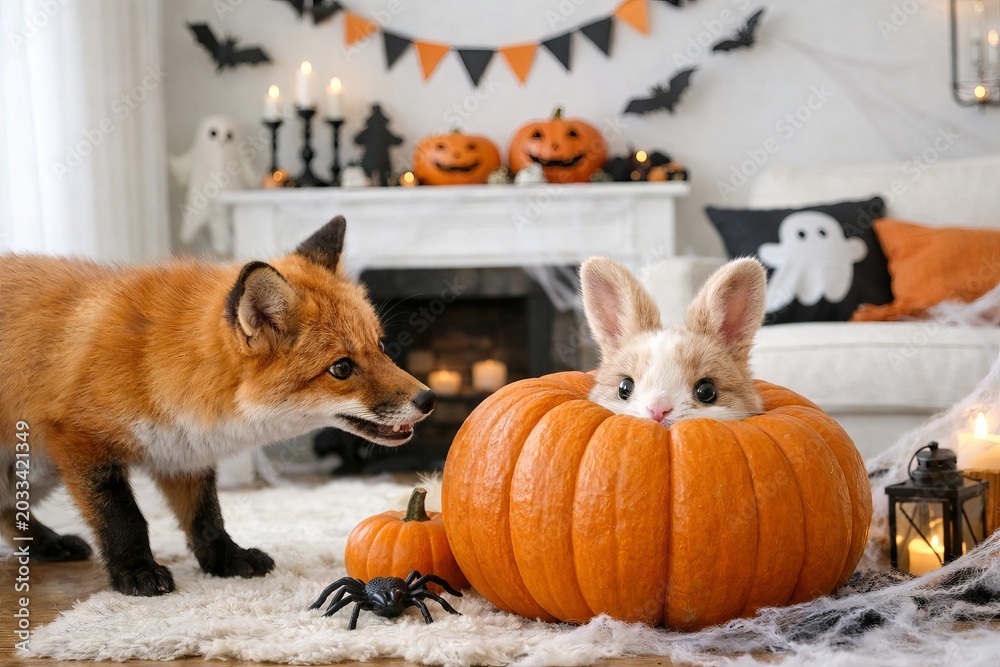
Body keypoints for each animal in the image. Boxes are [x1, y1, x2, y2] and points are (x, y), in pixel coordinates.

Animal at [0, 217, 436, 596]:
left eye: (381, 346)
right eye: (341, 368)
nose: (429, 399)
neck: (154, 363)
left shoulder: (181, 449)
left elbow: (205, 516)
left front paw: (226, 560)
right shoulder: (81, 439)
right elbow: (122, 518)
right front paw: (136, 571)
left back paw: (47, 544)